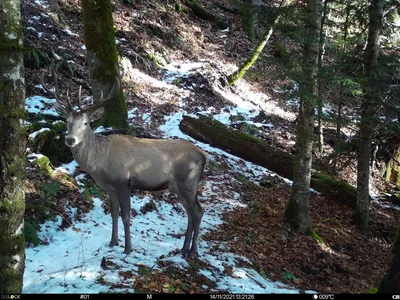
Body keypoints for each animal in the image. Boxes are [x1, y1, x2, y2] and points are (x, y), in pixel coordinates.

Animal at [40, 64, 208, 256]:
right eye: (67, 121)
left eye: (86, 123)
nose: (70, 140)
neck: (100, 163)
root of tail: (204, 156)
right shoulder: (110, 188)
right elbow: (114, 214)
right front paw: (113, 242)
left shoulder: (123, 182)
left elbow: (126, 217)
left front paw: (128, 249)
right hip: (177, 186)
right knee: (189, 212)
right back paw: (183, 248)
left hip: (188, 181)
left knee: (198, 211)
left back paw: (193, 251)